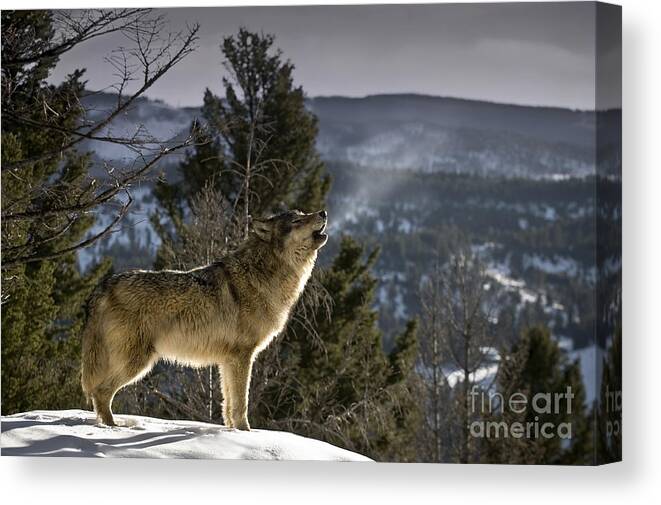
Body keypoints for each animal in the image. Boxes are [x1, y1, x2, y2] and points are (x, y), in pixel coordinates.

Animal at [81, 209, 328, 430]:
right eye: (297, 220)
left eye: (303, 213)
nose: (323, 213)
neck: (263, 274)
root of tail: (104, 285)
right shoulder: (243, 356)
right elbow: (241, 403)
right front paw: (246, 432)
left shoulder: (228, 361)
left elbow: (228, 405)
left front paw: (233, 432)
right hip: (138, 363)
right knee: (101, 391)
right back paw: (113, 427)